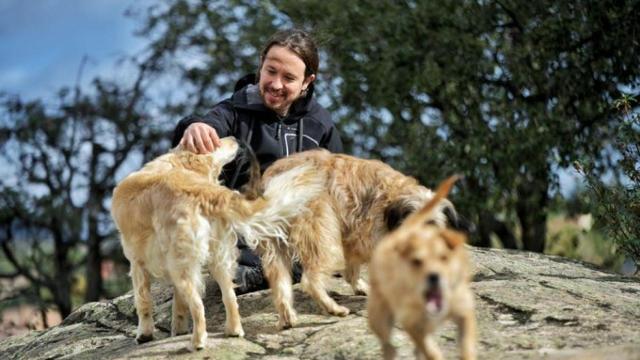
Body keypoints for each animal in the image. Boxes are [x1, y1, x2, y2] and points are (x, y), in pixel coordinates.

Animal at [109, 136, 324, 350]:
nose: (235, 138)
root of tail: (202, 191)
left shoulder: (137, 262)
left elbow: (143, 301)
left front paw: (144, 335)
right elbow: (178, 304)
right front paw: (178, 330)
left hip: (182, 265)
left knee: (198, 305)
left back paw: (197, 342)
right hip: (219, 258)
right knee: (229, 297)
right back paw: (234, 331)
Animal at [250, 149, 464, 330]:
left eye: (433, 225)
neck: (393, 196)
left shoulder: (353, 238)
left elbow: (353, 269)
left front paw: (361, 286)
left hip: (276, 246)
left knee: (281, 284)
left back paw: (288, 318)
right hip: (322, 235)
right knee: (310, 280)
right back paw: (333, 308)